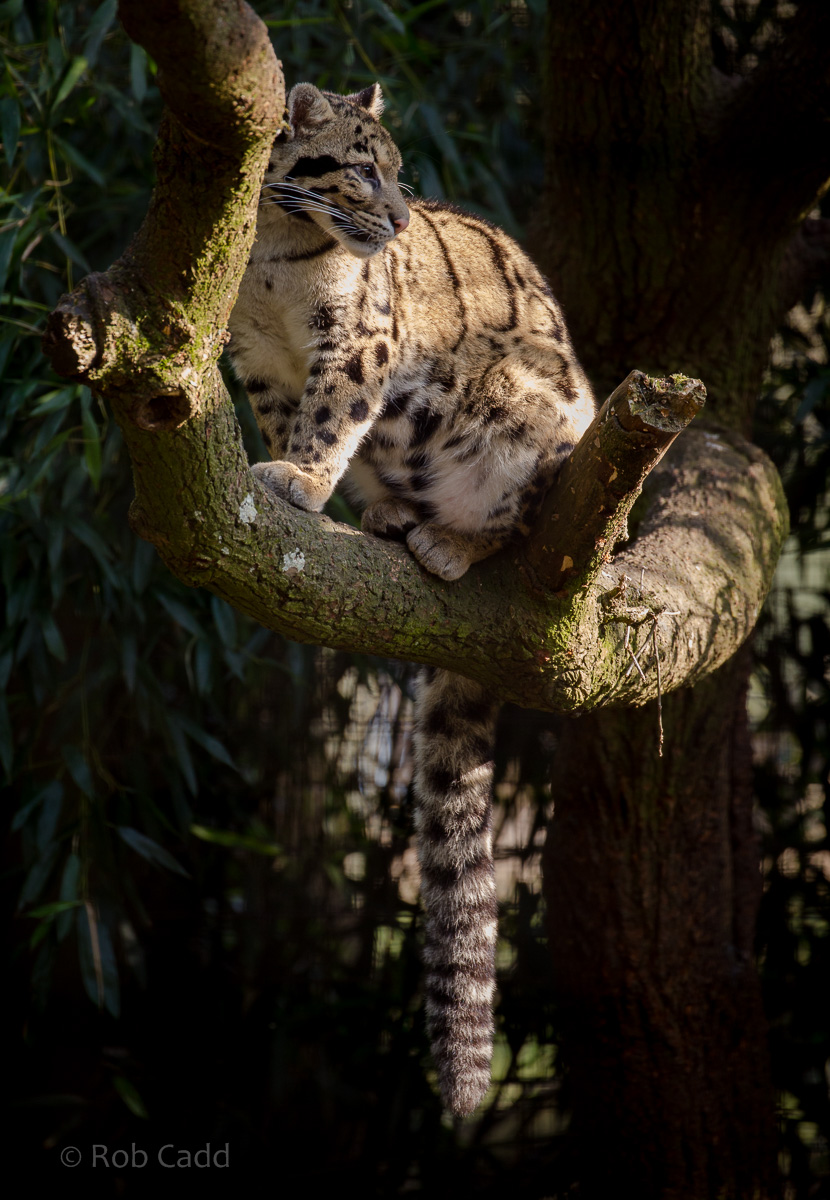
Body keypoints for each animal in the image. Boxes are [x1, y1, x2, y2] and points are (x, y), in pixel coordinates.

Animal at [227, 81, 596, 1117]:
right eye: (364, 167)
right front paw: (303, 479)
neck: (276, 252)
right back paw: (390, 515)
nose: (395, 220)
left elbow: (329, 419)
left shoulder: (359, 345)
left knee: (521, 519)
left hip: (534, 412)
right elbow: (292, 417)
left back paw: (448, 538)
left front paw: (299, 481)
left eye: (402, 174)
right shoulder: (258, 361)